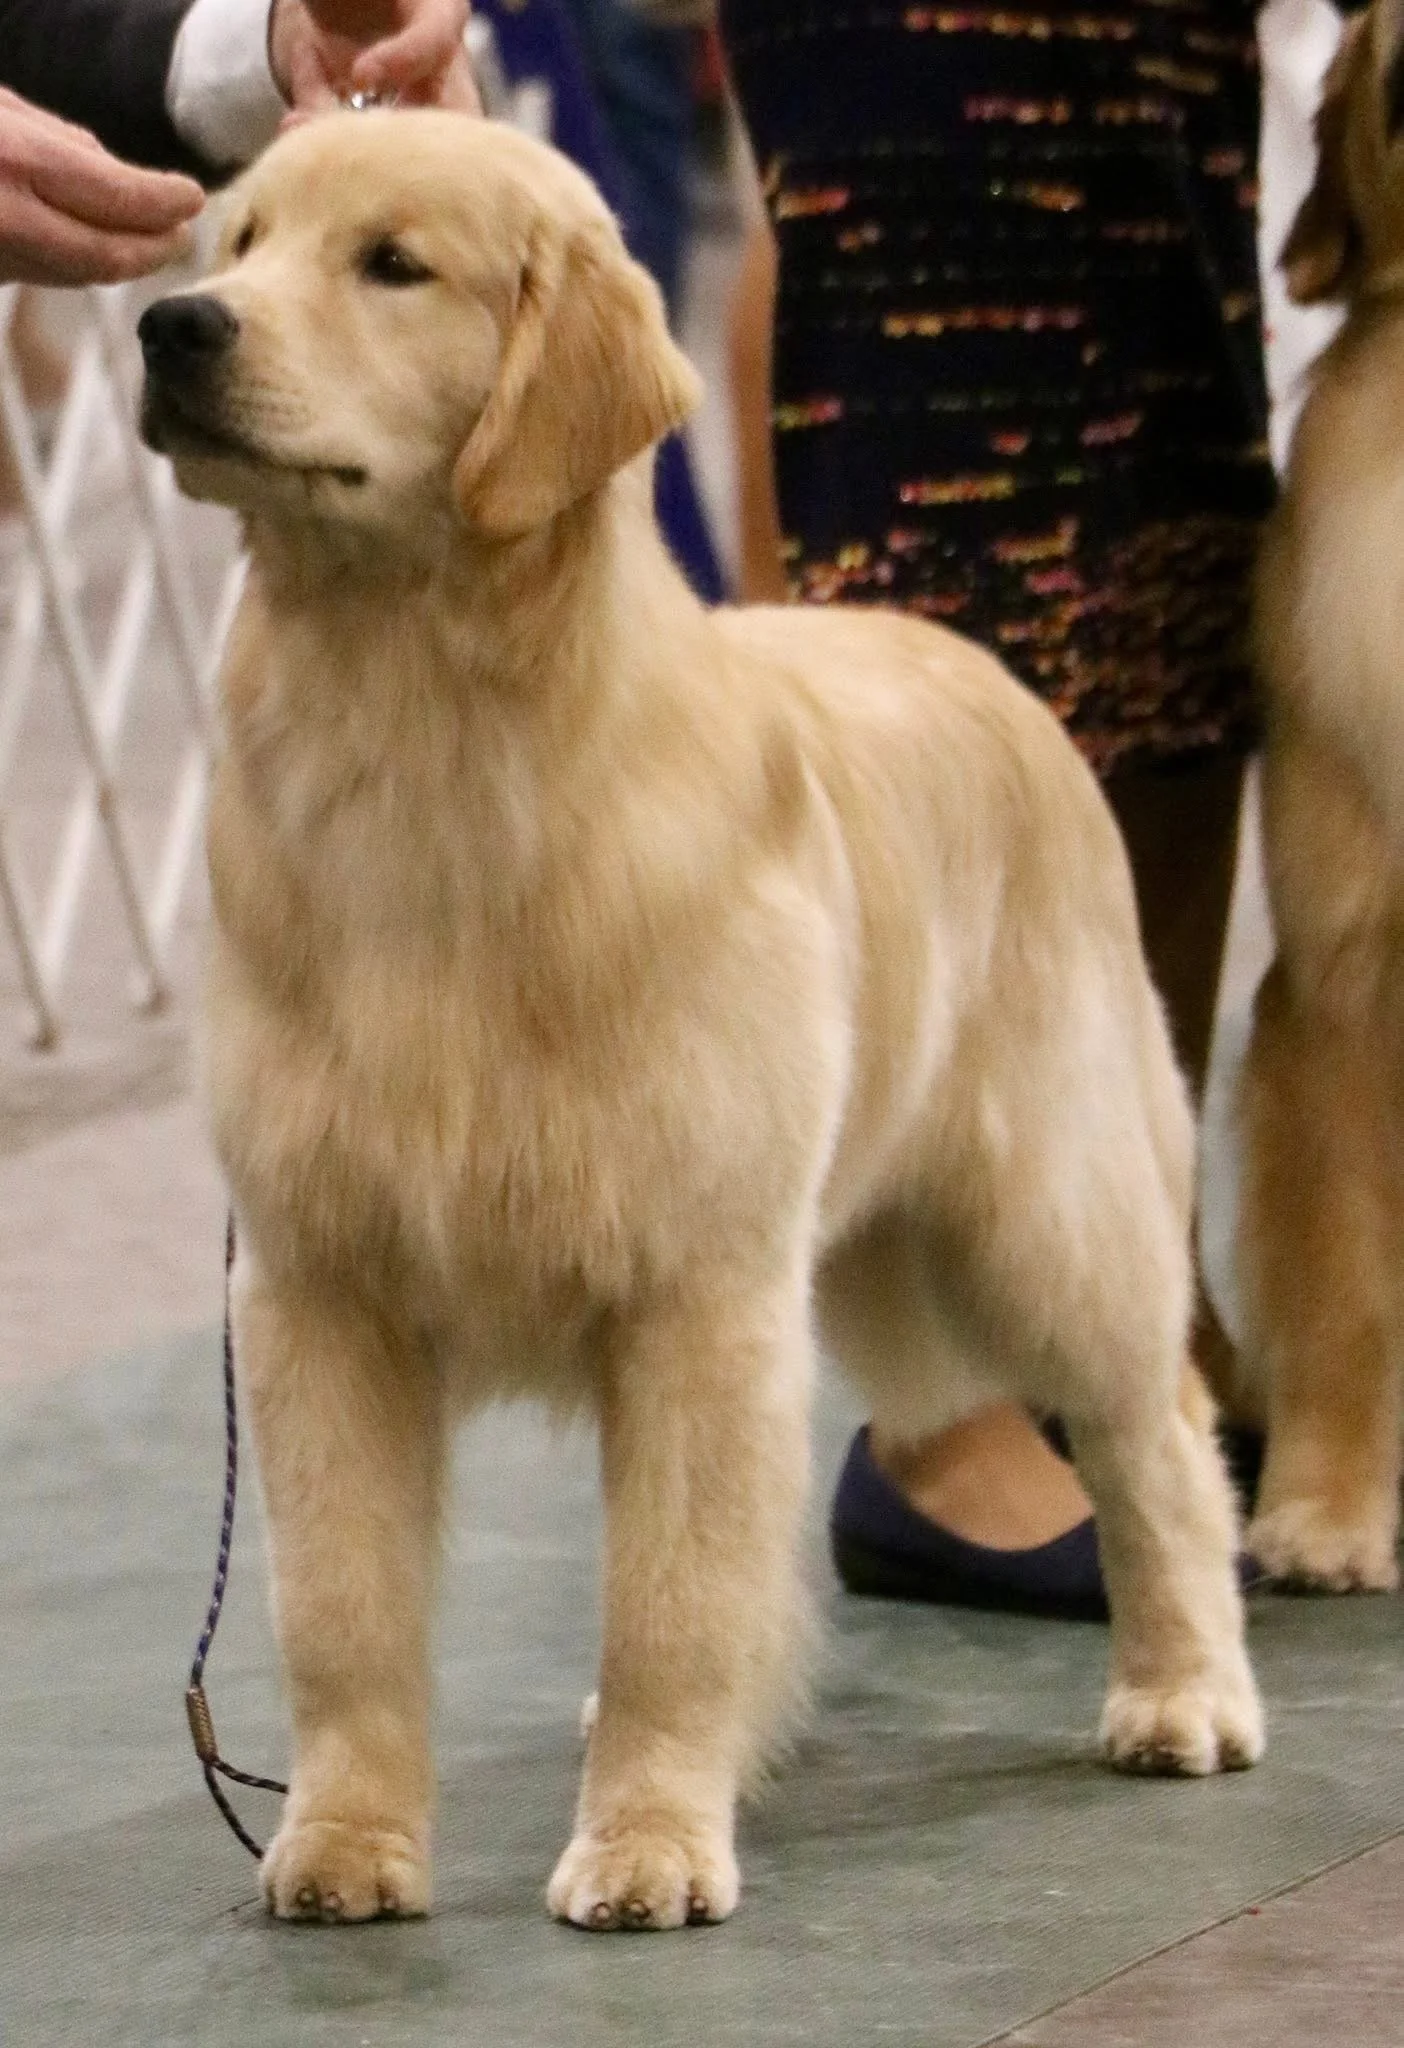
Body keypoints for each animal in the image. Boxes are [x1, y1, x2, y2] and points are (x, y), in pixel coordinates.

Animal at [138, 111, 1261, 1932]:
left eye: (393, 265)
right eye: (235, 242)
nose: (174, 329)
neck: (425, 741)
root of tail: (977, 662)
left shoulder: (694, 1287)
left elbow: (669, 1599)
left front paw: (649, 1842)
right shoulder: (318, 1289)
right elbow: (344, 1607)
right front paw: (347, 1841)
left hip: (1052, 1215)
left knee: (1153, 1439)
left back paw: (1184, 1693)